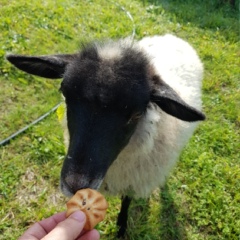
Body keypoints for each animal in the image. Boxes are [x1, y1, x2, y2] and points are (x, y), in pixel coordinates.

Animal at [6, 34, 204, 238]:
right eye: (65, 94)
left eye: (136, 114)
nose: (75, 185)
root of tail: (171, 36)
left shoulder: (132, 181)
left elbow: (126, 202)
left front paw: (121, 228)